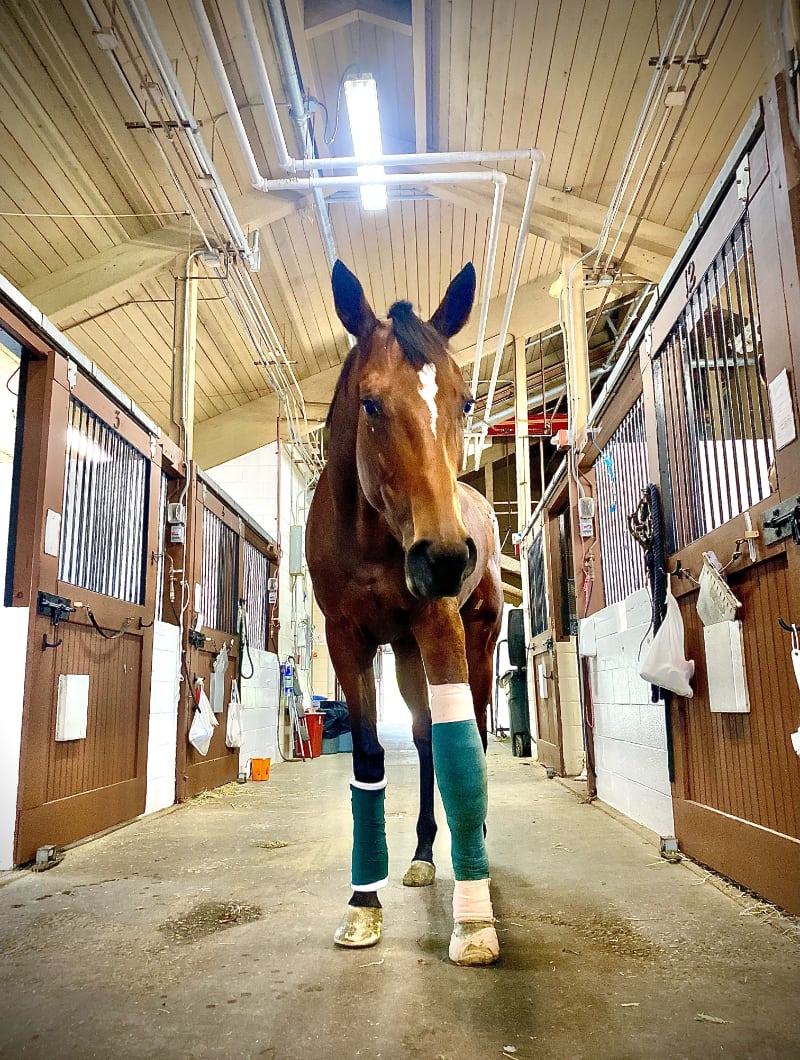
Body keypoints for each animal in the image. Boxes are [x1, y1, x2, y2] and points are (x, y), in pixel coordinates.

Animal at [305, 260, 504, 966]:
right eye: (370, 402)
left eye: (465, 401)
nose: (443, 558)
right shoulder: (349, 640)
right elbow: (369, 759)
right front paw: (363, 902)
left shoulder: (439, 625)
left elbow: (462, 751)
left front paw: (474, 923)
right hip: (406, 655)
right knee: (421, 740)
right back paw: (420, 855)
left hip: (477, 642)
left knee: (469, 733)